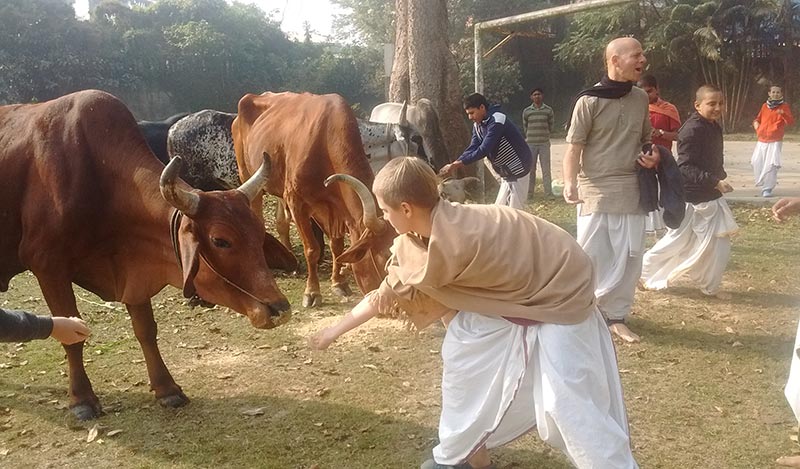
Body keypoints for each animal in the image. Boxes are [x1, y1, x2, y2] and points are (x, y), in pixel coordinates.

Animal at [0, 89, 296, 418]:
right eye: (220, 240)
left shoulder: (135, 269)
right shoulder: (47, 267)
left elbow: (146, 330)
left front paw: (167, 389)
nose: (279, 309)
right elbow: (72, 337)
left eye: (258, 234)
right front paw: (82, 399)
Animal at [230, 91, 396, 308]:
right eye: (385, 257)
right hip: (248, 176)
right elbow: (312, 249)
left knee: (281, 222)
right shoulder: (297, 202)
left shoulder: (335, 209)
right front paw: (312, 292)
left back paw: (291, 260)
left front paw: (339, 283)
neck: (324, 140)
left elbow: (336, 246)